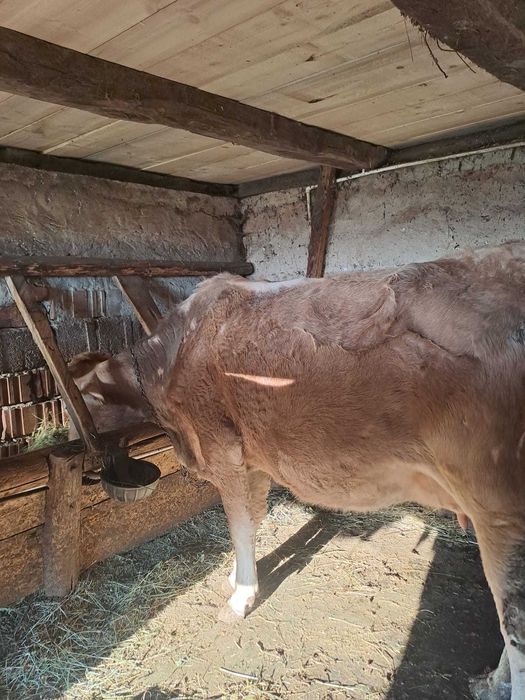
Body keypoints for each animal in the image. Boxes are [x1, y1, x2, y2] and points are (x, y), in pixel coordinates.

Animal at [69, 241, 525, 700]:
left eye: (80, 404)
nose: (77, 455)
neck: (174, 357)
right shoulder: (252, 456)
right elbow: (252, 518)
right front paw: (237, 578)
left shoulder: (222, 450)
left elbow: (239, 526)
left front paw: (241, 598)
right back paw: (489, 682)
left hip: (499, 508)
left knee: (515, 620)